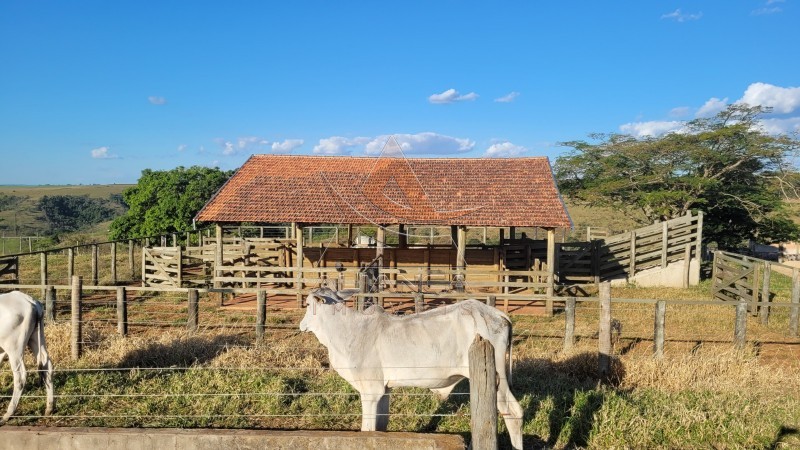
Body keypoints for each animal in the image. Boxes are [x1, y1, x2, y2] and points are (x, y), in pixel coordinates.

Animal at [0, 290, 54, 424]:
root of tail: (30, 301)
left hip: (14, 347)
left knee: (20, 376)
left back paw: (7, 415)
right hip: (36, 338)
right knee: (46, 365)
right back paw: (49, 408)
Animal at [300, 288, 524, 450]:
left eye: (308, 304)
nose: (302, 325)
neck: (348, 330)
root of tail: (499, 315)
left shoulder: (370, 390)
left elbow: (367, 430)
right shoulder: (384, 390)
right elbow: (380, 428)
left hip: (498, 379)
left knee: (514, 412)